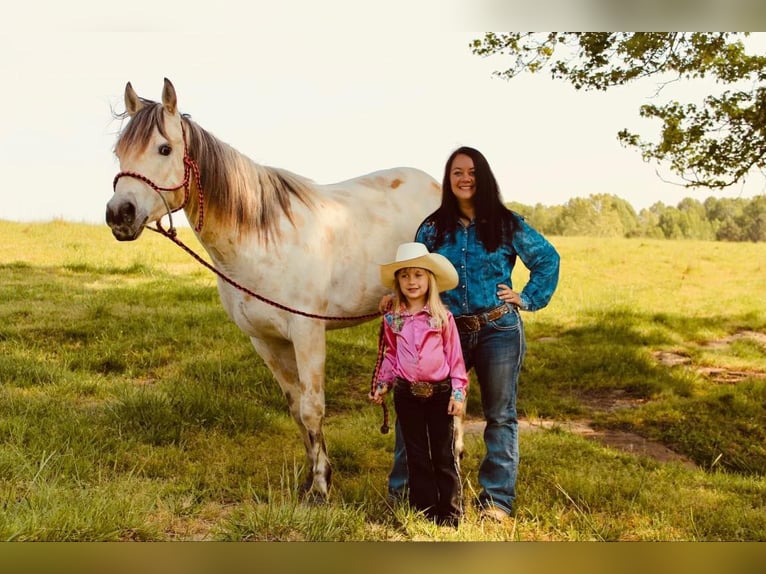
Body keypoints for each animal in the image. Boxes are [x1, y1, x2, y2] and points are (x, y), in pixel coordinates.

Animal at [108, 77, 444, 500]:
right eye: (119, 152)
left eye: (164, 148)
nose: (119, 214)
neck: (262, 240)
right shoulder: (265, 340)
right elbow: (296, 408)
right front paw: (312, 477)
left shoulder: (307, 333)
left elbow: (313, 408)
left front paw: (321, 490)